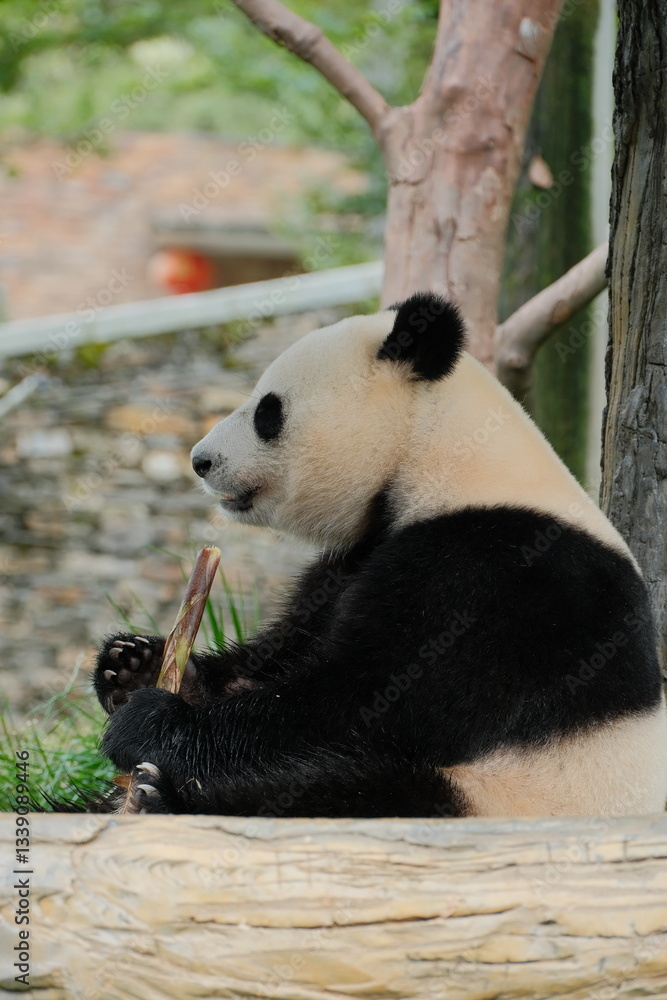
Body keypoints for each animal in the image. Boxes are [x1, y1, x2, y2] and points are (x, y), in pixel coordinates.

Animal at [94, 292, 667, 817]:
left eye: (268, 412)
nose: (200, 460)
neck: (446, 455)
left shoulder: (499, 578)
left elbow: (364, 703)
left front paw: (152, 722)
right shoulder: (353, 559)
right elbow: (285, 653)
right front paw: (134, 665)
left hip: (504, 795)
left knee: (360, 794)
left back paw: (165, 797)